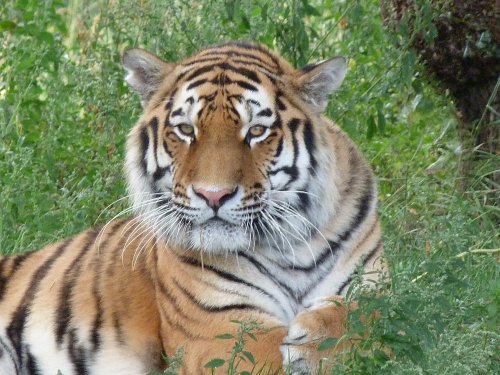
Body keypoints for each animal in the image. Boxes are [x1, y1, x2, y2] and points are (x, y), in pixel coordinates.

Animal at [0, 41, 384, 375]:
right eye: (186, 129)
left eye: (256, 131)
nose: (213, 196)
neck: (291, 245)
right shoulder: (218, 329)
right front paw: (311, 351)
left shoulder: (374, 286)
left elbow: (374, 321)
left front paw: (318, 344)